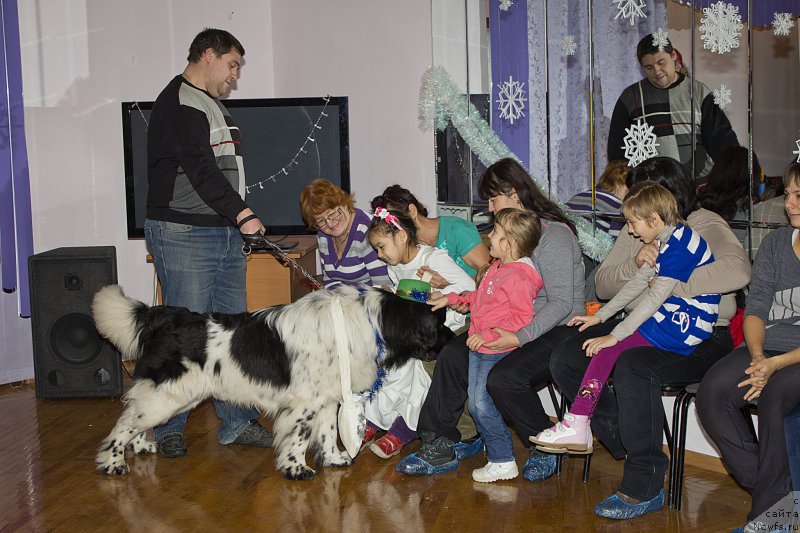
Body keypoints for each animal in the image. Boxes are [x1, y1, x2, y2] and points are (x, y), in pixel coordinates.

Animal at [91, 284, 454, 480]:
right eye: (439, 325)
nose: (456, 339)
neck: (371, 322)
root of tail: (167, 316)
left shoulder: (327, 399)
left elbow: (327, 434)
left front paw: (334, 460)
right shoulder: (303, 404)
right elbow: (299, 438)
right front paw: (296, 470)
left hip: (176, 395)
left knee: (137, 420)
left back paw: (141, 447)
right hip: (169, 392)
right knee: (124, 424)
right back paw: (113, 462)